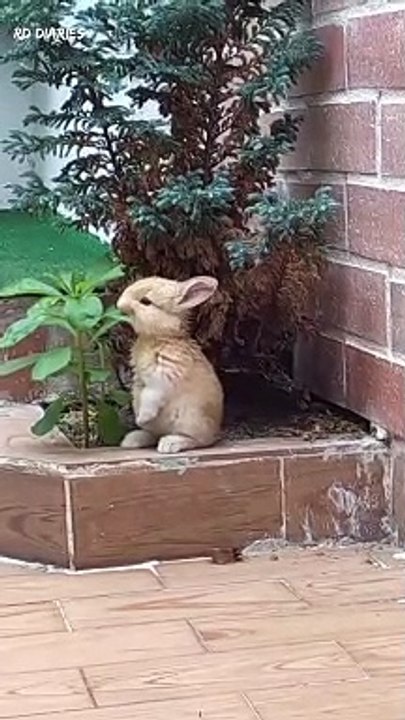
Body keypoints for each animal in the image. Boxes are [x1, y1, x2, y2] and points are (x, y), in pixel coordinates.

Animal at [116, 275, 224, 454]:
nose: (119, 304)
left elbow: (151, 395)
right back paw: (132, 440)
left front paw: (142, 418)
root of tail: (216, 432)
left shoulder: (162, 376)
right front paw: (139, 420)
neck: (158, 336)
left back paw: (170, 443)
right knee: (154, 435)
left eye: (146, 301)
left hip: (190, 419)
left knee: (199, 441)